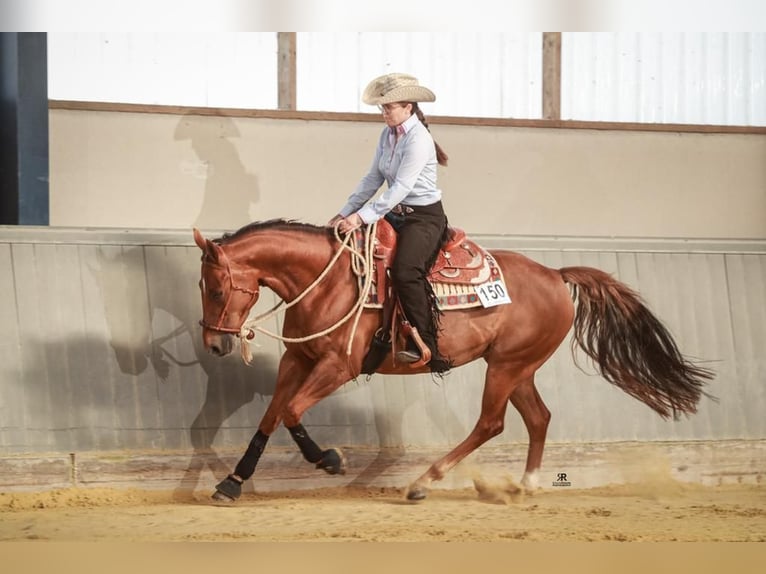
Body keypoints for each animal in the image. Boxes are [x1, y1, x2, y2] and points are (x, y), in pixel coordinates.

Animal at [190, 220, 712, 504]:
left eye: (215, 288)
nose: (214, 345)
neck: (328, 280)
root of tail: (555, 274)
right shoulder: (297, 359)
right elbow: (271, 415)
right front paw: (232, 483)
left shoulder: (337, 367)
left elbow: (293, 412)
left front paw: (329, 460)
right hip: (518, 367)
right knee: (538, 418)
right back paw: (526, 485)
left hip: (505, 368)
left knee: (491, 423)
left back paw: (424, 481)